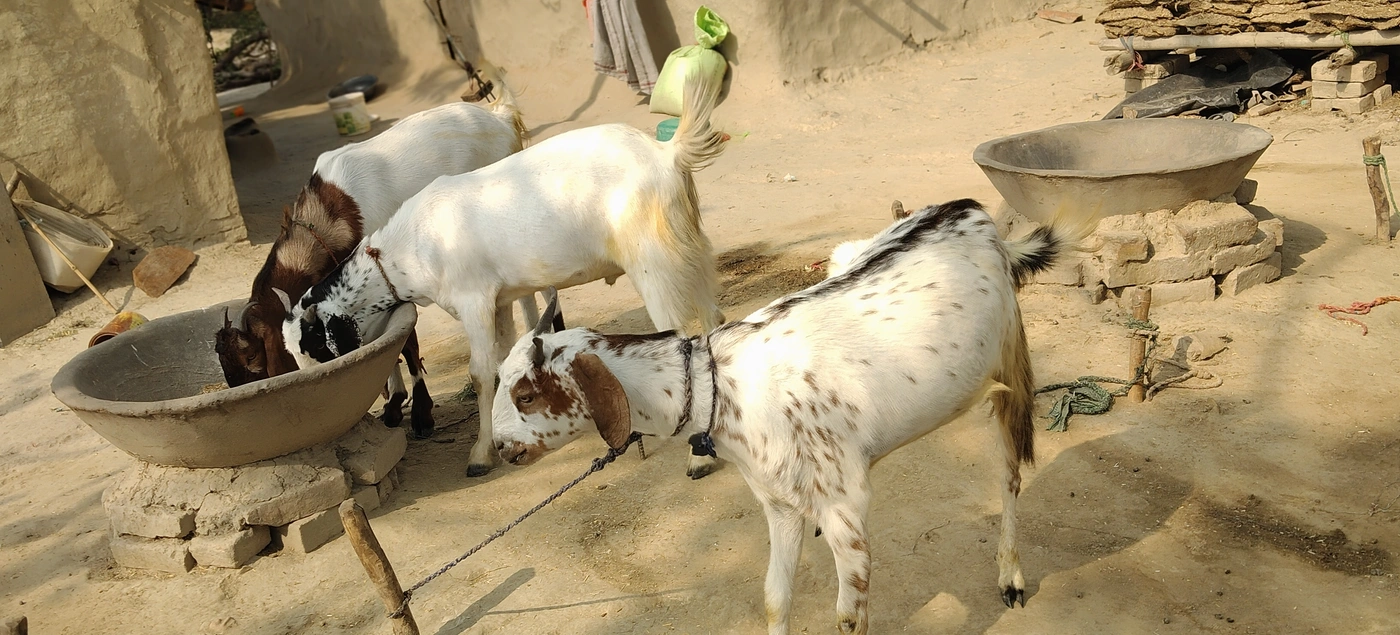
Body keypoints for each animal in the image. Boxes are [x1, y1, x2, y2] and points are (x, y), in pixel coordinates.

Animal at [215, 91, 535, 439]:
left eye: (252, 356)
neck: (331, 216)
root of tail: (500, 115)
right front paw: (394, 402)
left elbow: (405, 342)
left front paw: (421, 414)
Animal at [279, 73, 729, 478]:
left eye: (317, 349)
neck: (408, 249)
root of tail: (666, 153)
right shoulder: (499, 300)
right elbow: (501, 362)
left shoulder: (473, 299)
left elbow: (480, 373)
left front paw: (480, 456)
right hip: (687, 246)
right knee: (713, 318)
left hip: (652, 259)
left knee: (676, 331)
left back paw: (696, 458)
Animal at [488, 199, 1094, 634]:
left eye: (525, 394)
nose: (500, 447)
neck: (719, 387)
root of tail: (973, 212)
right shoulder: (779, 503)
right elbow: (774, 600)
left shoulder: (847, 509)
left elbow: (848, 618)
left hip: (1009, 373)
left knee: (1009, 475)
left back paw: (1010, 576)